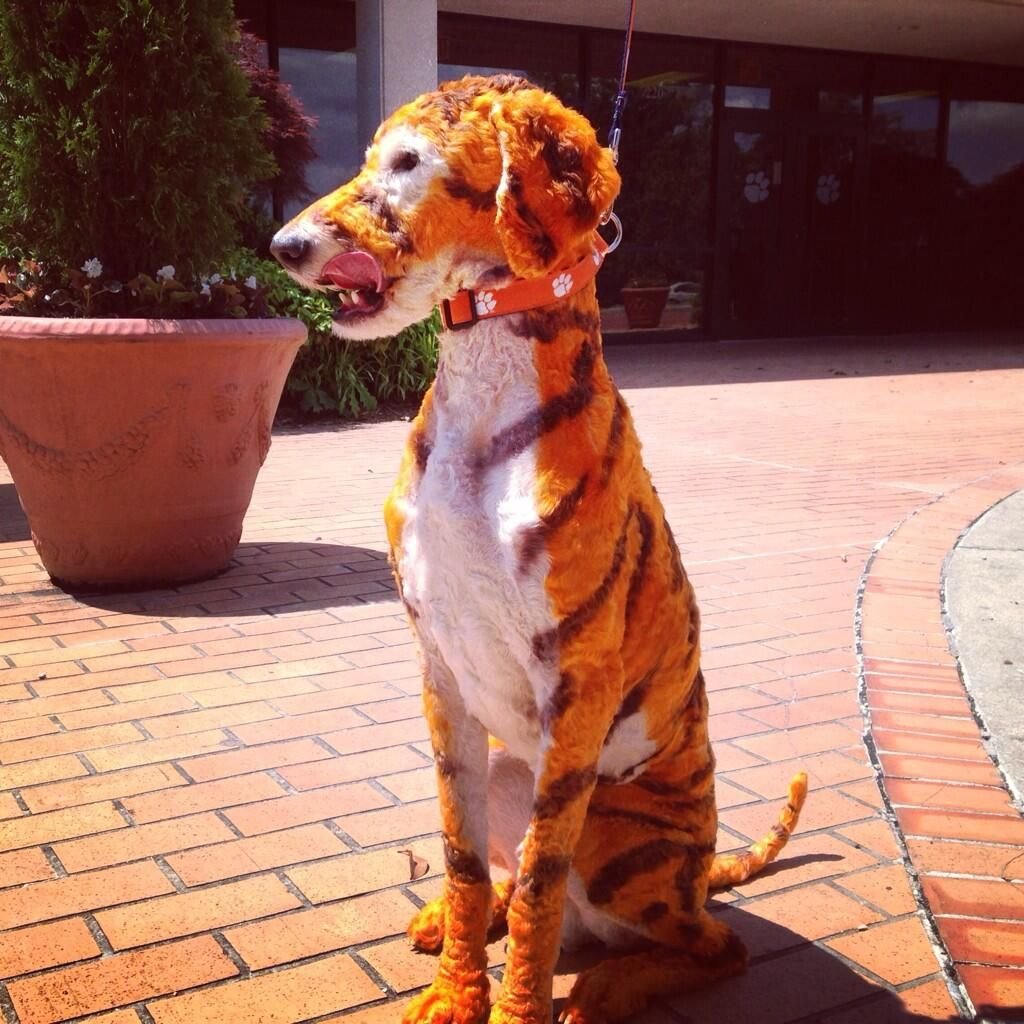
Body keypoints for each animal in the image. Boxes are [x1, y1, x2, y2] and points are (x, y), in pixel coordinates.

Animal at [271, 74, 807, 1024]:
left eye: (408, 162)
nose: (281, 246)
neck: (483, 393)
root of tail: (704, 875)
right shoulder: (439, 669)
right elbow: (463, 854)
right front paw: (457, 986)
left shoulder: (576, 680)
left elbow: (539, 889)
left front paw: (517, 1005)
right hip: (504, 773)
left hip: (617, 835)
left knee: (712, 944)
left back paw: (603, 987)